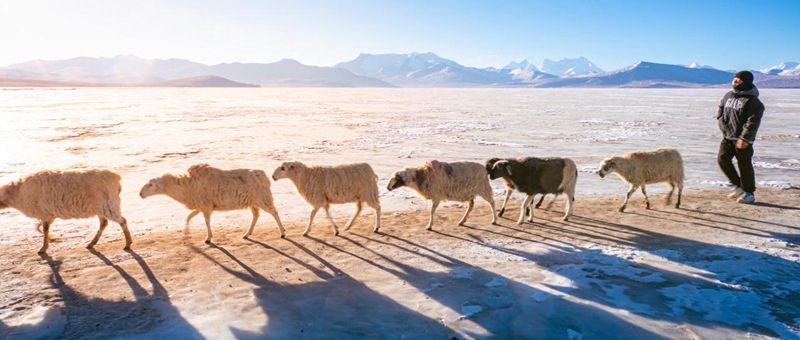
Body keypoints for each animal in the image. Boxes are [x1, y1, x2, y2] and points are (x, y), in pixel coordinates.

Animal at [0, 169, 133, 254]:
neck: (17, 193)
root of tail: (116, 178)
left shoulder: (45, 213)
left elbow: (45, 229)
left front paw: (44, 248)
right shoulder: (49, 215)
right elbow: (44, 229)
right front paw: (49, 242)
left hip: (108, 205)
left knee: (122, 221)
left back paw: (127, 244)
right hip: (100, 208)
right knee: (104, 223)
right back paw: (91, 243)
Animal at [140, 163, 284, 243]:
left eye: (151, 184)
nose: (140, 194)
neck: (186, 186)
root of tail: (265, 176)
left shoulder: (206, 206)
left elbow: (206, 222)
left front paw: (208, 238)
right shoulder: (201, 205)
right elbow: (189, 217)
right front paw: (186, 232)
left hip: (263, 198)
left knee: (274, 212)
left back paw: (282, 232)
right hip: (253, 201)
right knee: (256, 216)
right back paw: (247, 234)